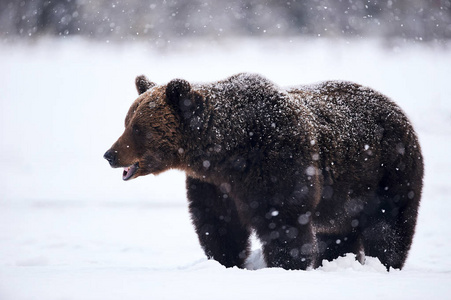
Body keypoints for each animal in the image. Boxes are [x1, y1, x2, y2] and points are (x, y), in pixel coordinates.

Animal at [105, 74, 424, 270]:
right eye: (127, 121)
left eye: (138, 128)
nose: (110, 155)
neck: (227, 153)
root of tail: (398, 109)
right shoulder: (214, 185)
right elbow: (218, 225)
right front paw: (226, 261)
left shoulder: (280, 164)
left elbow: (283, 222)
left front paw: (287, 265)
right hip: (346, 194)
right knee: (337, 232)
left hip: (388, 172)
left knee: (388, 226)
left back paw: (385, 263)